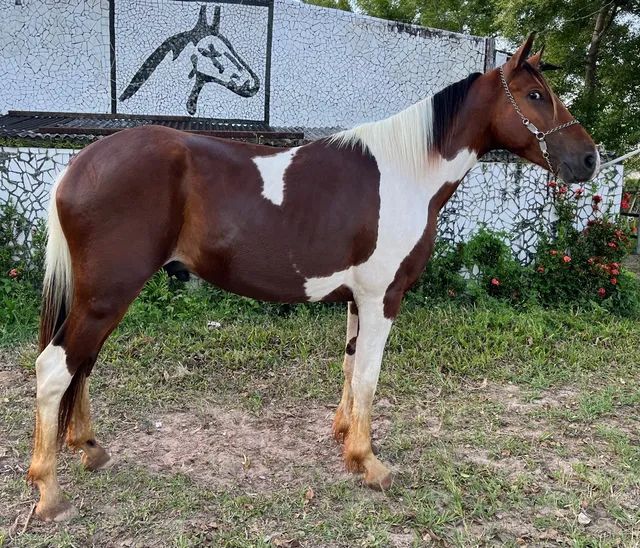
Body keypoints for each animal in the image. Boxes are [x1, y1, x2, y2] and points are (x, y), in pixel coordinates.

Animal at [27, 35, 600, 524]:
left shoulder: (357, 299)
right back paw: (49, 494)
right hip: (107, 295)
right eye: (535, 95)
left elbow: (349, 369)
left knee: (83, 365)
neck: (406, 172)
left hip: (99, 298)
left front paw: (344, 437)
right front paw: (369, 463)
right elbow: (368, 376)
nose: (589, 159)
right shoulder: (384, 298)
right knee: (57, 368)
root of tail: (78, 165)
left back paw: (89, 449)